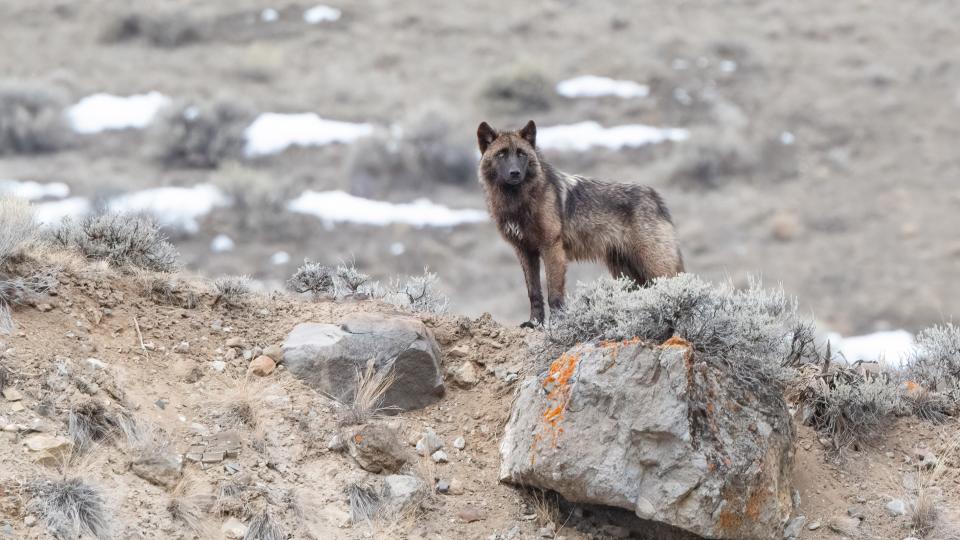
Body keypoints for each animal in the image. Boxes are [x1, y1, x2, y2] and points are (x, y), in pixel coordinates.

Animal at [474, 120, 684, 326]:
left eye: (521, 154)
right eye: (501, 154)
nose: (515, 173)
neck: (518, 202)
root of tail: (656, 197)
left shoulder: (552, 248)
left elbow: (554, 294)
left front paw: (557, 324)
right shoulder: (525, 251)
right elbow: (533, 292)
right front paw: (534, 323)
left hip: (653, 265)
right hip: (625, 271)